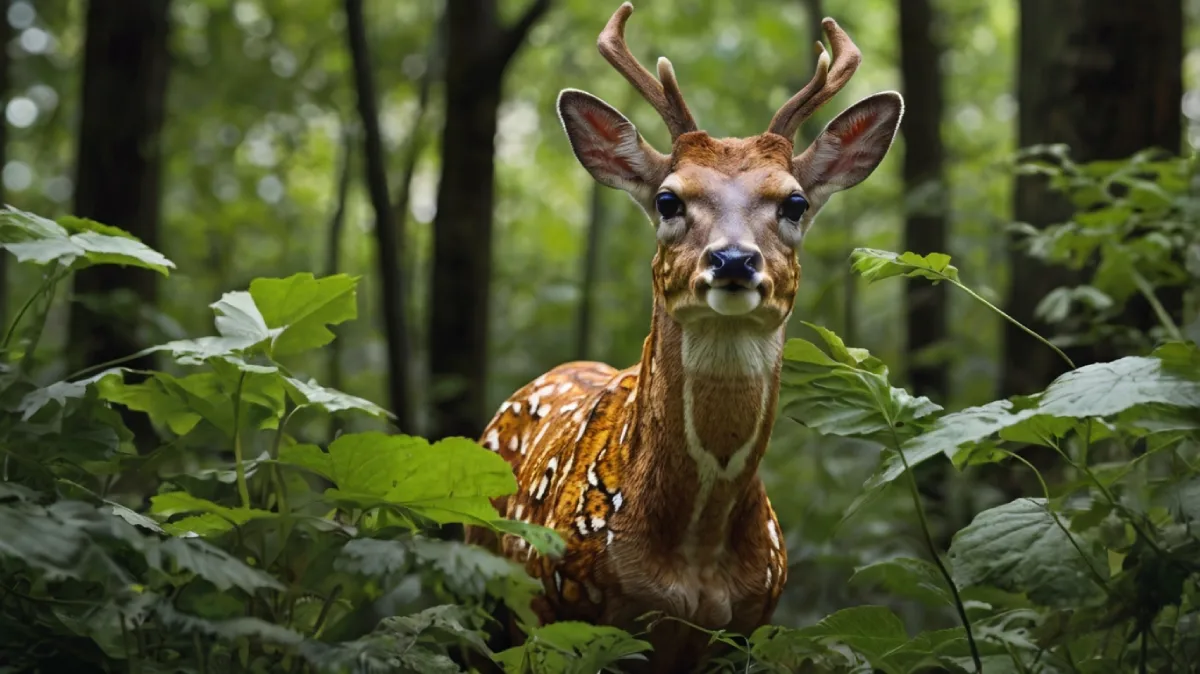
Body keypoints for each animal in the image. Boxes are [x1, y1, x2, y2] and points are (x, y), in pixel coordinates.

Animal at [463, 3, 902, 666]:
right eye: (669, 200)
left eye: (795, 203)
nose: (733, 260)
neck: (696, 545)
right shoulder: (571, 616)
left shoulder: (746, 628)